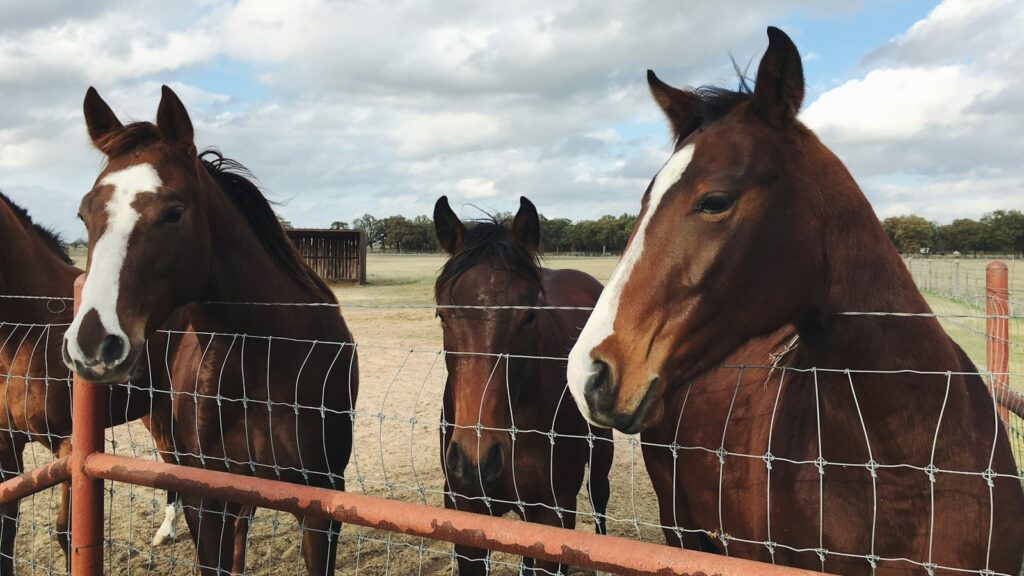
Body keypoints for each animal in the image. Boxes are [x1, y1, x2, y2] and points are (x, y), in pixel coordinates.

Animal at [63, 86, 359, 575]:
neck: (267, 357)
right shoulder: (209, 501)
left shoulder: (320, 507)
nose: (92, 344)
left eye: (173, 213)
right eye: (84, 213)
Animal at [433, 196, 614, 575]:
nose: (476, 459)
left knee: (599, 498)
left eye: (529, 316)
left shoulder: (553, 516)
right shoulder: (467, 512)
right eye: (443, 315)